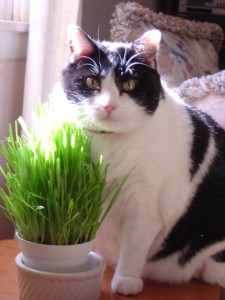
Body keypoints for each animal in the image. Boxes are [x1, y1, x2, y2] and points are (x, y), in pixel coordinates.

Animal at [61, 25, 225, 296]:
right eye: (91, 82)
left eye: (129, 84)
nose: (108, 106)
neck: (112, 144)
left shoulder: (144, 205)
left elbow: (133, 247)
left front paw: (126, 281)